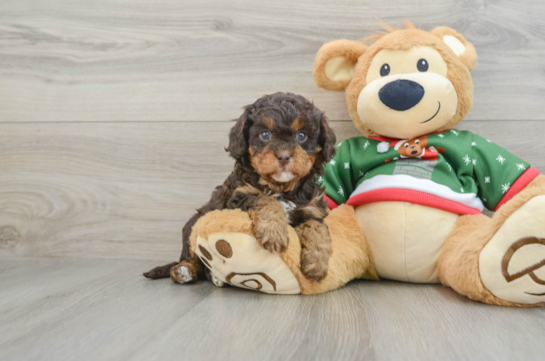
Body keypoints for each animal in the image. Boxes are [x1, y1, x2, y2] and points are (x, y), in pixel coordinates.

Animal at [143, 92, 336, 284]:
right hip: (194, 226)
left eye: (301, 136)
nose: (283, 156)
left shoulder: (312, 208)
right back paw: (185, 270)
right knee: (193, 257)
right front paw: (274, 233)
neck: (280, 187)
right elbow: (265, 199)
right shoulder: (239, 197)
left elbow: (317, 227)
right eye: (265, 134)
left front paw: (317, 263)